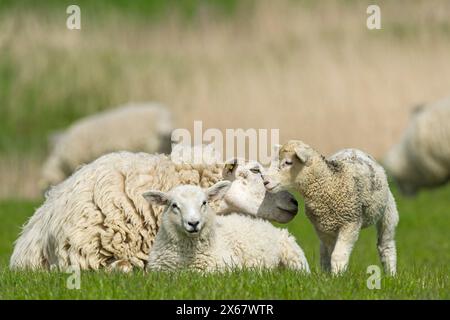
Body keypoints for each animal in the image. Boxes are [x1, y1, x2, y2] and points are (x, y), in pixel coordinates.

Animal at [266, 140, 400, 276]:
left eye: (288, 162)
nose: (266, 181)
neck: (330, 183)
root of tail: (353, 149)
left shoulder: (350, 223)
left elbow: (337, 254)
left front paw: (338, 276)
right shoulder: (323, 228)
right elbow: (330, 253)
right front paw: (331, 276)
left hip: (388, 210)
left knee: (386, 245)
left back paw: (391, 274)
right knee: (323, 251)